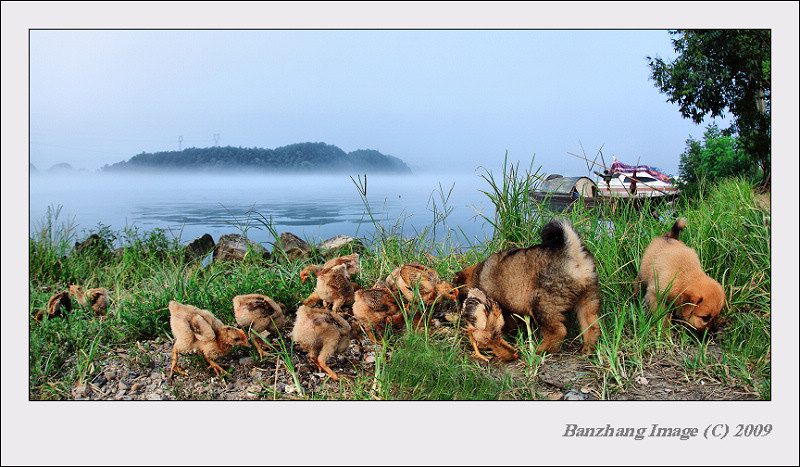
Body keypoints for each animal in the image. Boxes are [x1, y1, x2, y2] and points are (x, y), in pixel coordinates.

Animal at [454, 219, 596, 354]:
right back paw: (589, 349)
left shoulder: (504, 308)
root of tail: (572, 252)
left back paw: (543, 350)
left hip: (542, 303)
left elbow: (507, 323)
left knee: (558, 331)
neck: (477, 274)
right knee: (591, 323)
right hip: (588, 296)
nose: (460, 309)